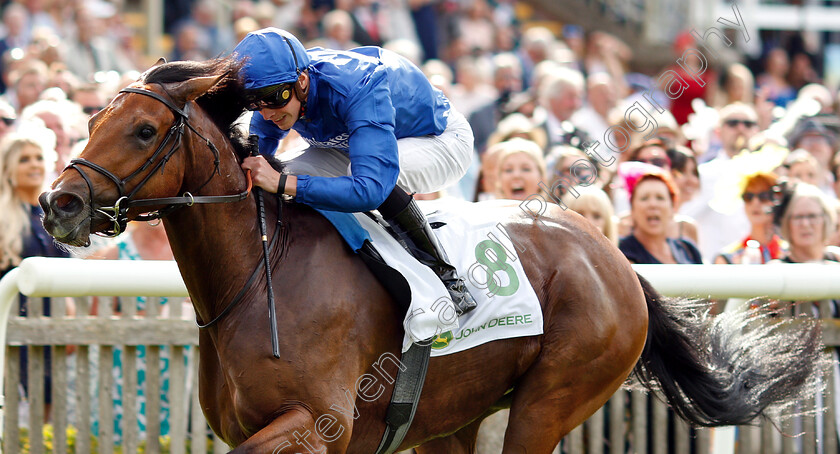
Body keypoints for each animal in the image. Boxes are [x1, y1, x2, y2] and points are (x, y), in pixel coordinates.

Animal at [39, 58, 820, 452]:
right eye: (92, 117)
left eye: (144, 130)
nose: (58, 204)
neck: (259, 275)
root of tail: (618, 263)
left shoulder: (318, 426)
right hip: (455, 416)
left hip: (550, 400)